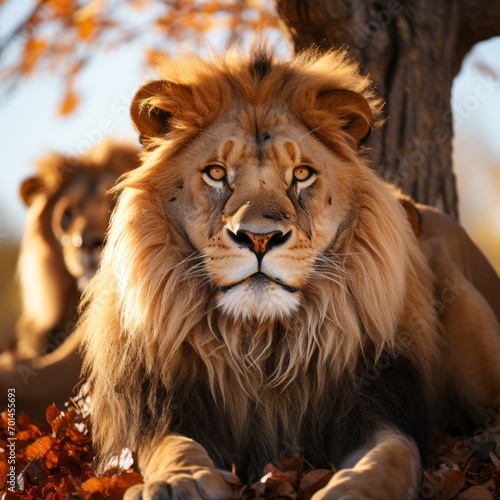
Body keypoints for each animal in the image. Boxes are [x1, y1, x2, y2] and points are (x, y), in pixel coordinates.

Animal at [79, 41, 500, 498]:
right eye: (216, 173)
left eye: (301, 174)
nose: (259, 238)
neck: (261, 341)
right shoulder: (161, 408)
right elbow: (172, 446)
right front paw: (180, 480)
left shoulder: (379, 405)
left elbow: (387, 459)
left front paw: (351, 491)